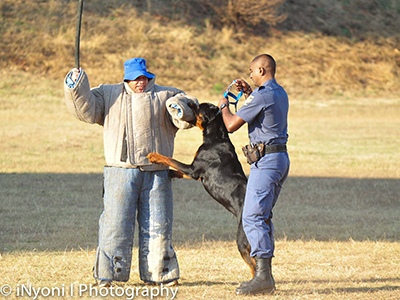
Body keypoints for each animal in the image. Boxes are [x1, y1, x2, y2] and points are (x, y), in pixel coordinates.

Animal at [147, 102, 256, 278]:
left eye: (199, 107)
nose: (190, 102)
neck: (216, 138)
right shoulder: (195, 173)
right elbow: (178, 170)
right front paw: (170, 173)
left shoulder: (194, 169)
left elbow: (171, 159)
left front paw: (154, 156)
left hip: (242, 240)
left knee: (254, 265)